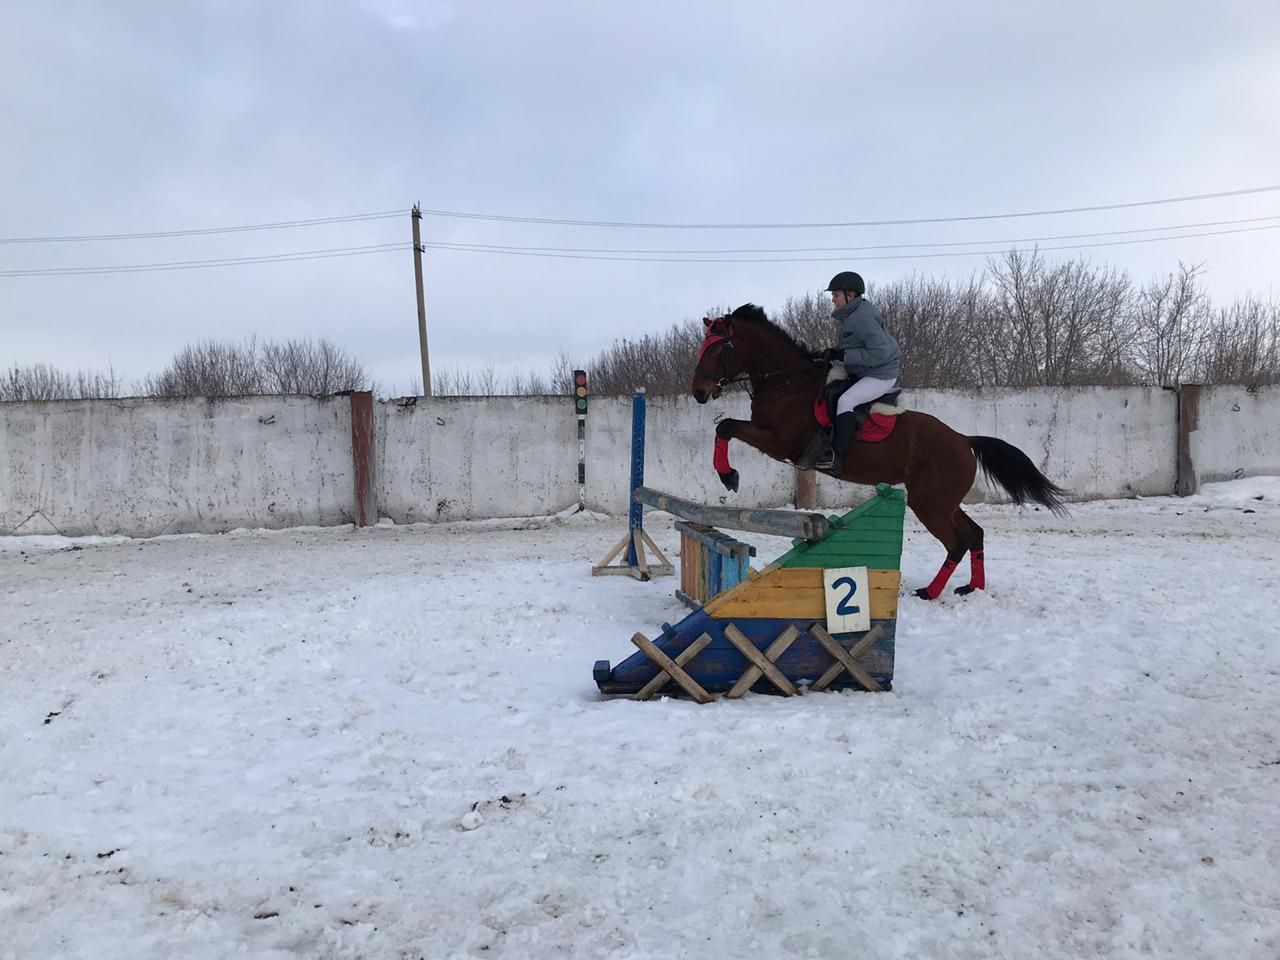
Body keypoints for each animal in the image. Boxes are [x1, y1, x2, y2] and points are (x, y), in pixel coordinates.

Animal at [691, 304, 1070, 599]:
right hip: (942, 501)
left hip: (930, 503)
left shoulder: (780, 443)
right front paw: (727, 474)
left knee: (956, 543)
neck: (787, 382)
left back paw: (930, 592)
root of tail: (964, 439)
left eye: (715, 350)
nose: (698, 392)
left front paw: (728, 476)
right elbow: (724, 428)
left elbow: (725, 427)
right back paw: (971, 587)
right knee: (973, 533)